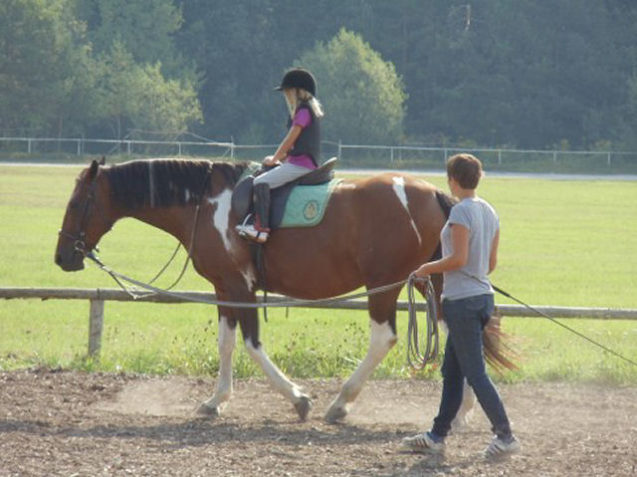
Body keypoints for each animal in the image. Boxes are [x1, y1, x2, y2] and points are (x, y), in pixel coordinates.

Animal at [53, 158, 502, 422]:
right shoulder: (224, 288)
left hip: (384, 287)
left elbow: (251, 344)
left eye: (75, 204)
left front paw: (298, 398)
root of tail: (432, 194)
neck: (206, 204)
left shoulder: (240, 287)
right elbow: (226, 344)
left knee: (384, 338)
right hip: (434, 280)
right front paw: (215, 401)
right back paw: (460, 411)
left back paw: (341, 401)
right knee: (455, 335)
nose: (62, 257)